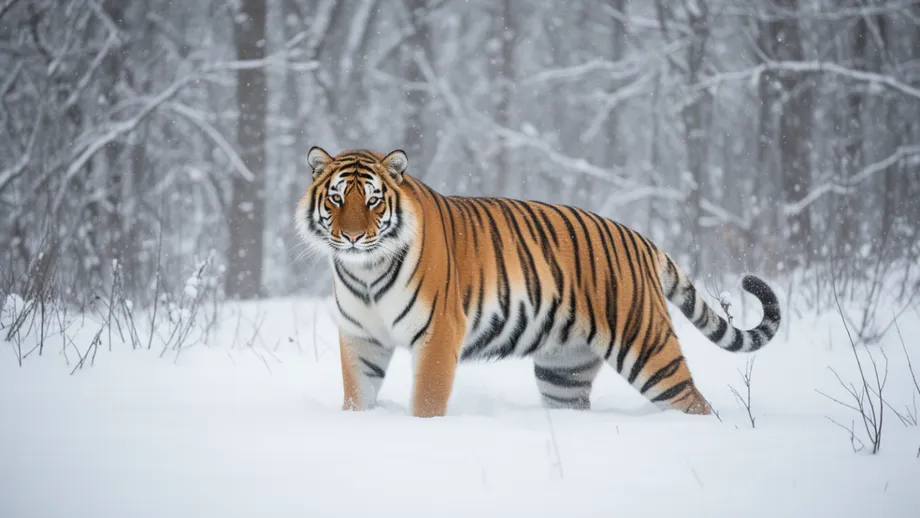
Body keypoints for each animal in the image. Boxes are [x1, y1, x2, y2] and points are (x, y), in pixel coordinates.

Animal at [295, 147, 781, 418]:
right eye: (336, 199)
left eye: (373, 201)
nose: (353, 237)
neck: (365, 270)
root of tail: (641, 239)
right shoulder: (361, 336)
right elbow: (357, 393)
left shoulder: (438, 333)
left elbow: (428, 401)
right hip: (564, 370)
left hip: (647, 347)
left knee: (693, 402)